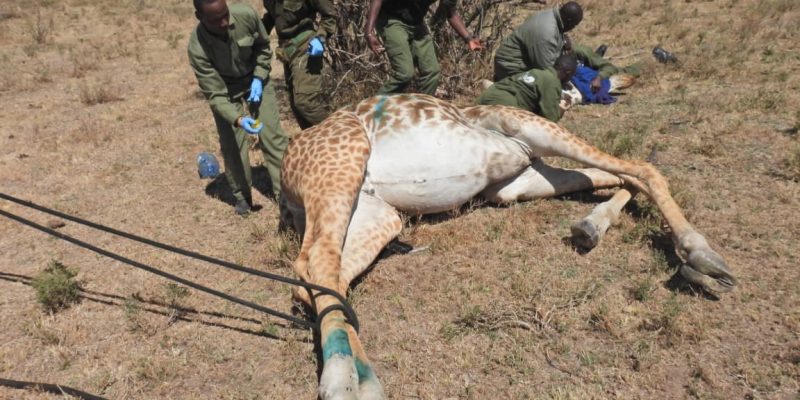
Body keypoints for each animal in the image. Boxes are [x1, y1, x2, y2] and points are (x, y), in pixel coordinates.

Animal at [280, 94, 736, 400]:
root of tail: (287, 169)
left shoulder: (518, 178)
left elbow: (626, 177)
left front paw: (593, 226)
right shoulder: (527, 133)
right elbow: (642, 169)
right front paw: (700, 258)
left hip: (392, 207)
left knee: (315, 274)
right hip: (343, 167)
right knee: (317, 259)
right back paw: (343, 377)